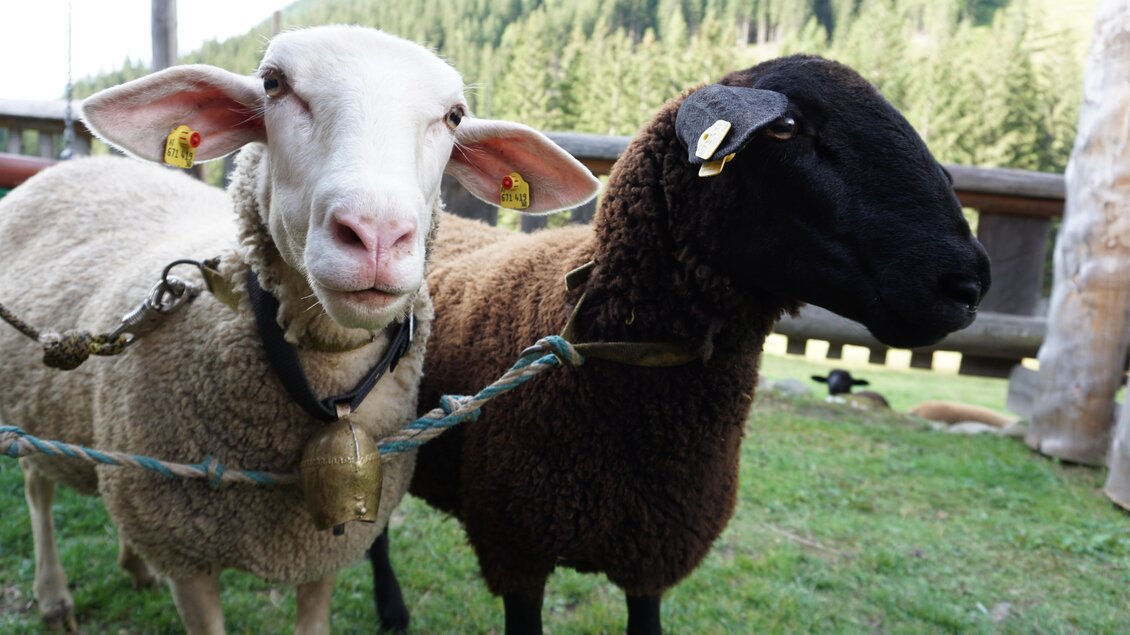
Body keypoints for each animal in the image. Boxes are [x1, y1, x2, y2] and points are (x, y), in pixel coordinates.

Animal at [0, 26, 598, 634]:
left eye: (454, 116)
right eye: (273, 84)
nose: (377, 235)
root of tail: (68, 167)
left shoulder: (325, 548)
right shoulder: (186, 555)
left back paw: (134, 566)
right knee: (36, 485)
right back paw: (54, 596)